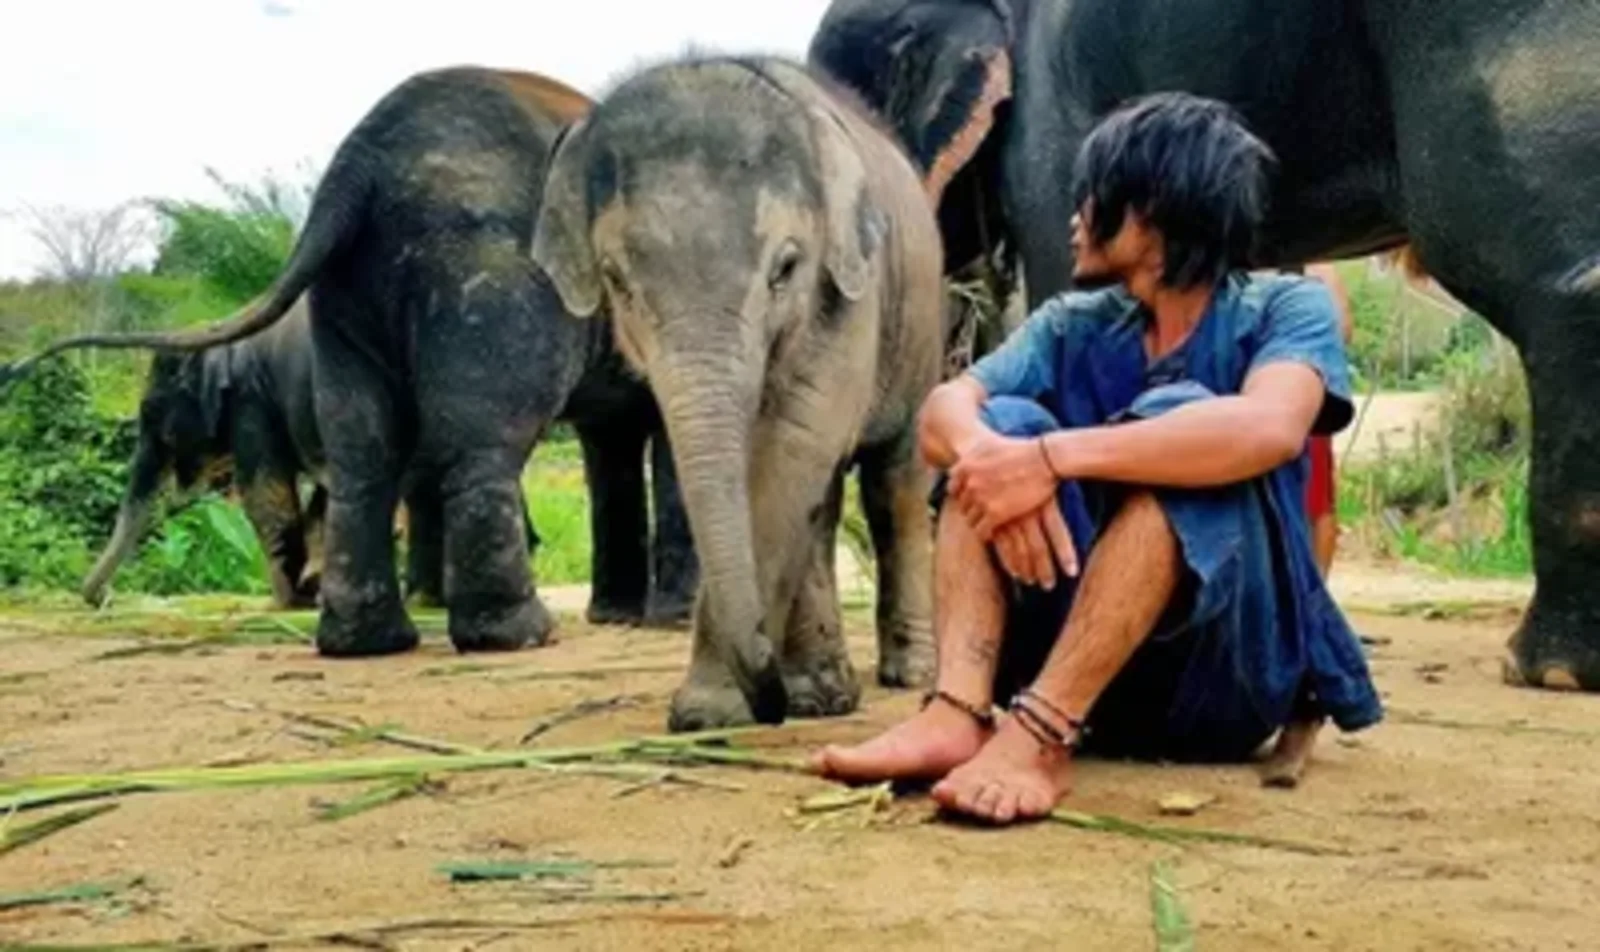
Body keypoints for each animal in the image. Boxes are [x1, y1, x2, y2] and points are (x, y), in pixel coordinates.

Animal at [2, 65, 698, 655]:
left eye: (155, 416)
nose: (96, 600)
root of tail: (356, 167)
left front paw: (636, 620)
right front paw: (666, 622)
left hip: (391, 282)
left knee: (372, 451)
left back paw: (378, 638)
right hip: (471, 271)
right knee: (467, 445)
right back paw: (505, 637)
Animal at [532, 54, 948, 729]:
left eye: (786, 268)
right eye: (617, 281)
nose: (770, 700)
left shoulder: (847, 292)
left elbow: (792, 442)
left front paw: (707, 713)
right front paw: (771, 700)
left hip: (921, 327)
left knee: (895, 486)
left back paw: (908, 674)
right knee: (824, 501)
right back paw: (822, 693)